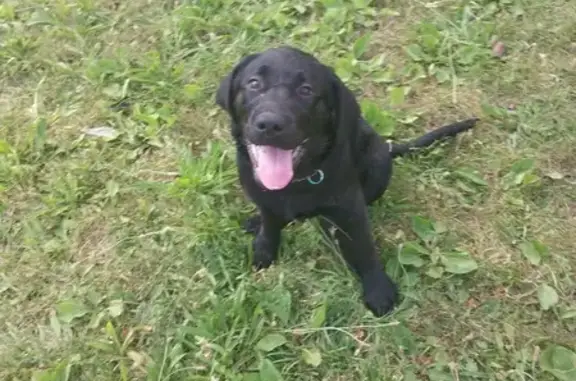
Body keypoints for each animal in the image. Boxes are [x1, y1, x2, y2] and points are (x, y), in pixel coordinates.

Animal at [216, 46, 476, 316]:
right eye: (254, 83)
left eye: (306, 90)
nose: (269, 124)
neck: (298, 179)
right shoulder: (264, 198)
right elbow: (269, 225)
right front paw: (263, 250)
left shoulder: (352, 208)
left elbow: (364, 247)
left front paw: (377, 288)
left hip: (378, 161)